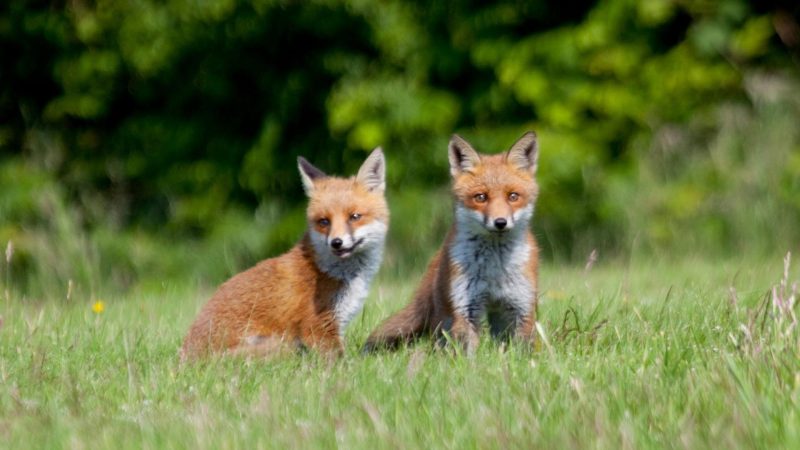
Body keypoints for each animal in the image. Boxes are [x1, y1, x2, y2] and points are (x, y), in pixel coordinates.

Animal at [184, 149, 390, 360]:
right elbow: (342, 360)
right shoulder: (317, 327)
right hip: (286, 345)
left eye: (355, 217)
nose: (336, 242)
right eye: (324, 221)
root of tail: (185, 359)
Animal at [366, 134, 540, 356]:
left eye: (513, 196)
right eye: (481, 197)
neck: (494, 268)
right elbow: (467, 353)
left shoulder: (520, 306)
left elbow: (523, 351)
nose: (500, 222)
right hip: (444, 317)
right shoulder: (465, 308)